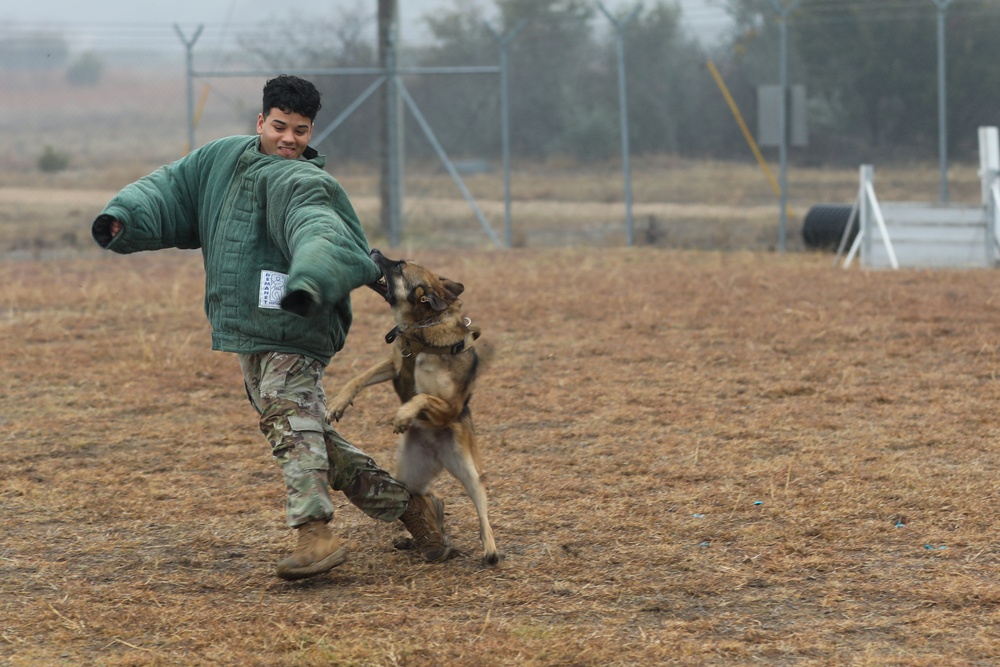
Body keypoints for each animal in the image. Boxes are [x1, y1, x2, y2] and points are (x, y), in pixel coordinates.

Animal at [328, 248, 500, 568]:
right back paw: (420, 537)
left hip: (469, 472)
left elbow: (422, 398)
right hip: (408, 477)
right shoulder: (395, 364)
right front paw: (338, 403)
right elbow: (359, 377)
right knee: (421, 498)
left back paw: (490, 549)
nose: (374, 250)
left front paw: (403, 415)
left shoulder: (449, 406)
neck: (423, 329)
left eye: (398, 266)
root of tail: (437, 453)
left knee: (482, 510)